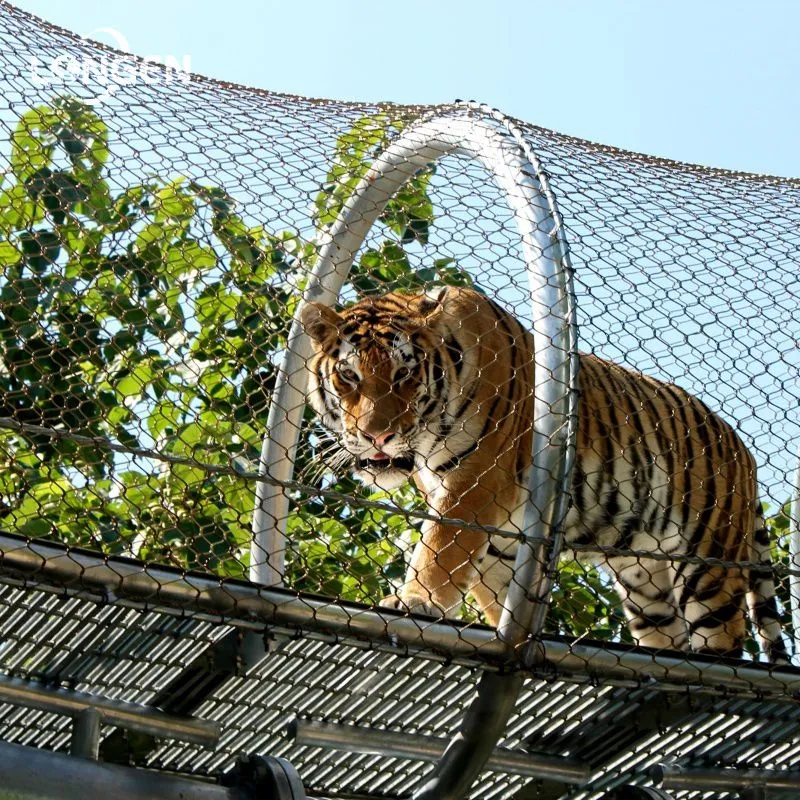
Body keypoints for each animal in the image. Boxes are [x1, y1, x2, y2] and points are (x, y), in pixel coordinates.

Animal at [299, 285, 788, 662]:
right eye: (348, 376)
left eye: (404, 374)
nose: (376, 435)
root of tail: (742, 448)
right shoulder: (498, 532)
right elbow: (494, 590)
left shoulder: (477, 481)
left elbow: (442, 546)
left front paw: (416, 600)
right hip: (646, 586)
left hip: (708, 565)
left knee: (723, 643)